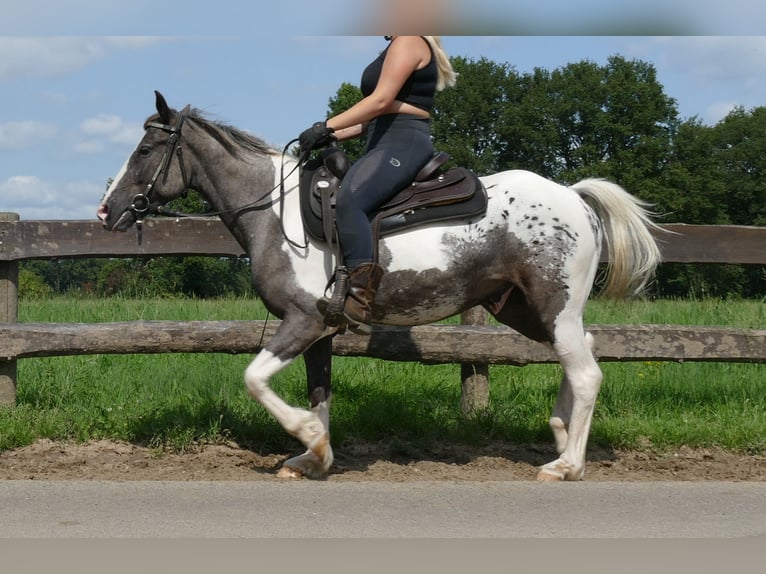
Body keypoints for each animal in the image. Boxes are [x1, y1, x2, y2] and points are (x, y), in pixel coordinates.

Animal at [96, 93, 664, 482]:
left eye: (146, 149)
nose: (106, 211)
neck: (276, 213)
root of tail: (573, 195)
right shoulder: (321, 331)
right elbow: (319, 393)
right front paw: (314, 456)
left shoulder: (303, 320)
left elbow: (255, 378)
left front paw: (306, 440)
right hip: (523, 310)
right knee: (580, 354)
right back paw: (563, 437)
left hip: (552, 305)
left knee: (587, 373)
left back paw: (566, 465)